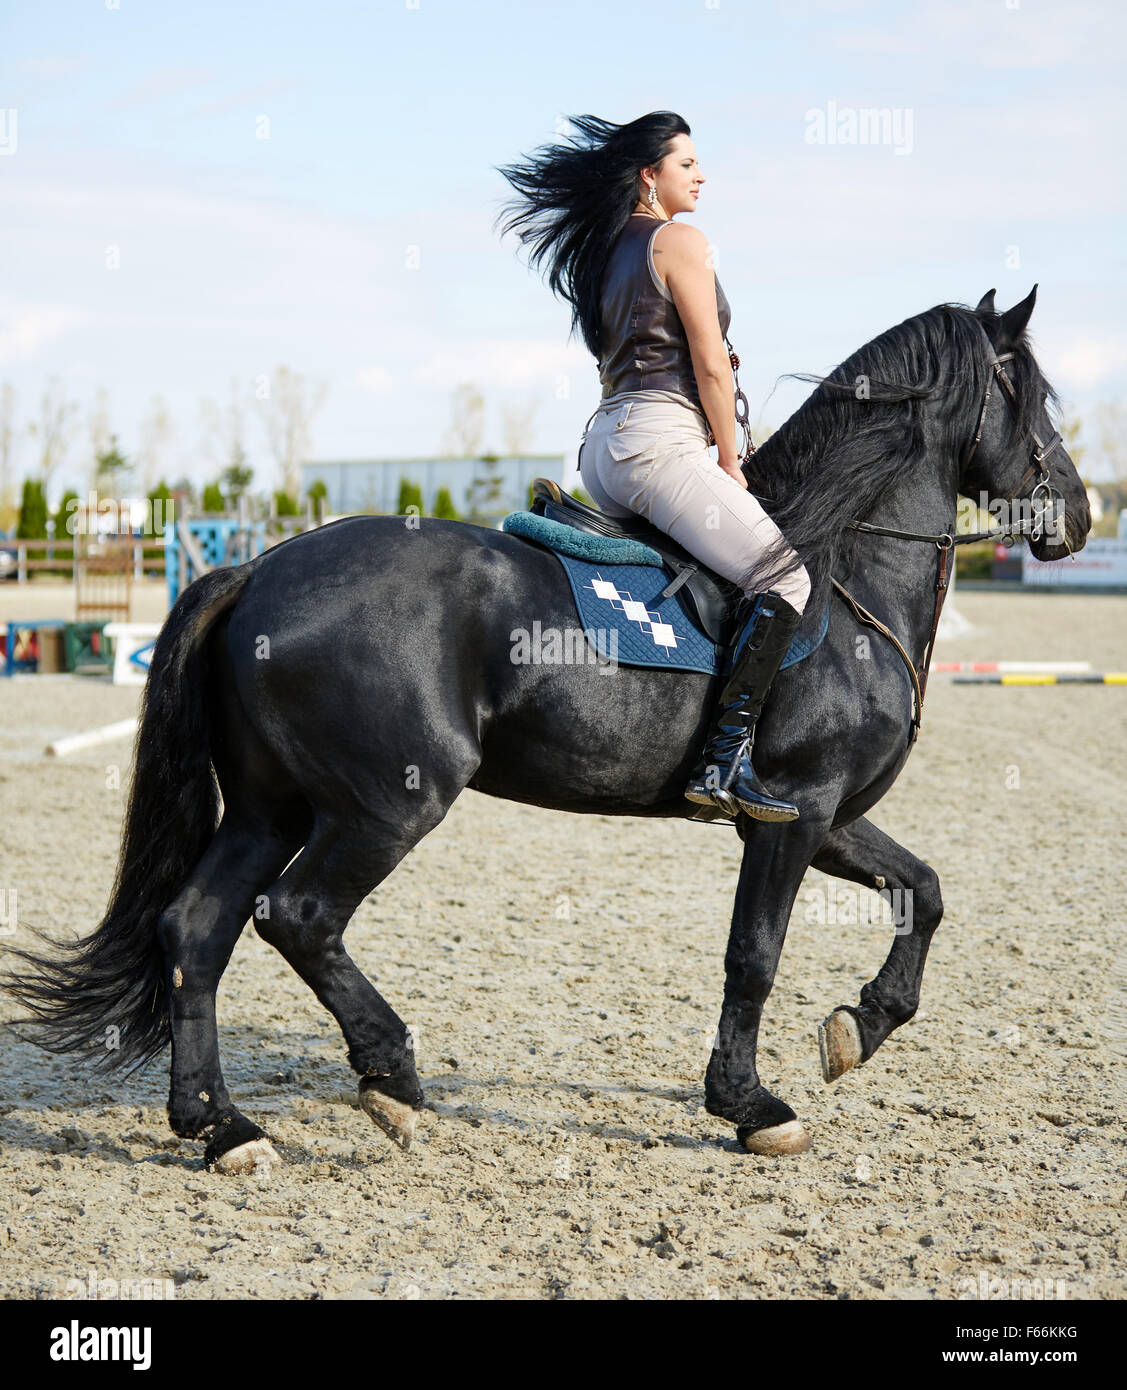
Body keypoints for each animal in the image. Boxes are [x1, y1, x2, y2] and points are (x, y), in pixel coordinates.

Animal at [4, 287, 1089, 1167]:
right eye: (1034, 395)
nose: (1075, 516)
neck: (840, 577)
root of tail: (259, 568)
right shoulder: (791, 813)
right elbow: (754, 954)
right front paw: (750, 1107)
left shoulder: (826, 817)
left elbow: (924, 890)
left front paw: (861, 1026)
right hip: (384, 806)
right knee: (299, 917)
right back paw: (391, 1079)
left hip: (272, 808)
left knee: (198, 927)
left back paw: (221, 1128)